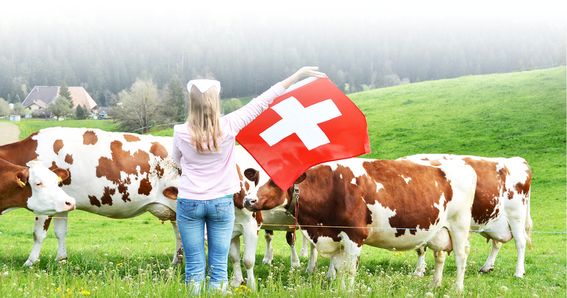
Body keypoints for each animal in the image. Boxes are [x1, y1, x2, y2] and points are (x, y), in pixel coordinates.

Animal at [0, 127, 181, 266]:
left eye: (39, 183)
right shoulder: (61, 203)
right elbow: (60, 232)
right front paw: (61, 261)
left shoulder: (44, 205)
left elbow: (38, 234)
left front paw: (29, 262)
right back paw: (176, 263)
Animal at [244, 158, 480, 292]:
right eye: (254, 179)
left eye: (275, 181)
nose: (248, 200)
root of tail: (463, 165)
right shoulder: (336, 236)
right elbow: (339, 269)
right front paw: (339, 290)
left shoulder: (354, 235)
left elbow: (349, 270)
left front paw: (347, 291)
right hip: (439, 231)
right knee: (440, 256)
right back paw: (435, 284)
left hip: (459, 226)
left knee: (461, 257)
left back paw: (457, 288)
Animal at [400, 155, 532, 278]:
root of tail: (517, 160)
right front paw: (420, 270)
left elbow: (421, 247)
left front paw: (418, 271)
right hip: (496, 220)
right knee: (497, 243)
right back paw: (487, 267)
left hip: (516, 216)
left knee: (520, 242)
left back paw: (519, 272)